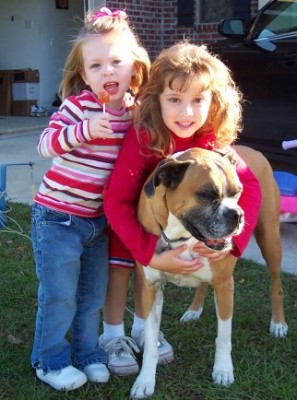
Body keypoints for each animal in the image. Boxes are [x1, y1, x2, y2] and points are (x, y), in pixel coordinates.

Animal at [130, 145, 286, 400]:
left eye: (238, 192)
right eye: (207, 194)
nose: (238, 214)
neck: (180, 234)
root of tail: (255, 150)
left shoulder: (224, 285)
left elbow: (223, 336)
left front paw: (223, 371)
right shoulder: (151, 289)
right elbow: (151, 341)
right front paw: (145, 381)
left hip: (270, 240)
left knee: (276, 285)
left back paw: (278, 323)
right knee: (203, 283)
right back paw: (194, 310)